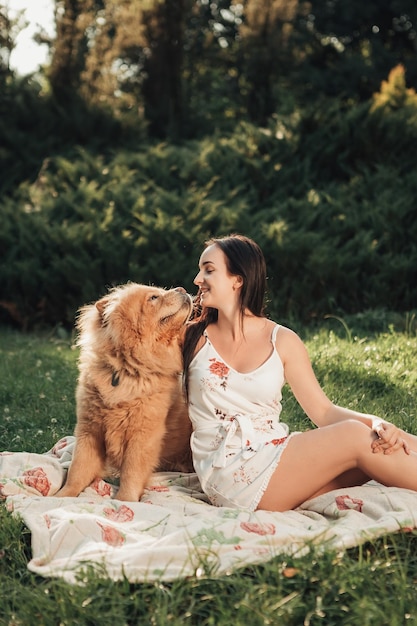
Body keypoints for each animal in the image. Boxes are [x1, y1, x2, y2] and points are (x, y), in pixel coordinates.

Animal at [54, 284, 195, 502]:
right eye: (154, 297)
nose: (182, 288)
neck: (128, 371)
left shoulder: (141, 436)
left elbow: (131, 473)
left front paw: (124, 501)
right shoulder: (89, 431)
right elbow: (77, 470)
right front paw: (62, 497)